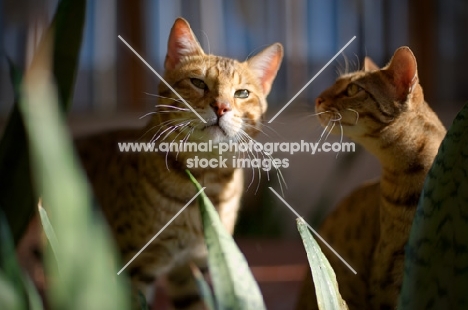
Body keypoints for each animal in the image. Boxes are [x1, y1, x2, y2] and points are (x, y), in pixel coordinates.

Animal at [74, 18, 282, 308]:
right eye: (198, 82)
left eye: (242, 93)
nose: (221, 107)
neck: (203, 179)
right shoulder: (133, 267)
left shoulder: (192, 269)